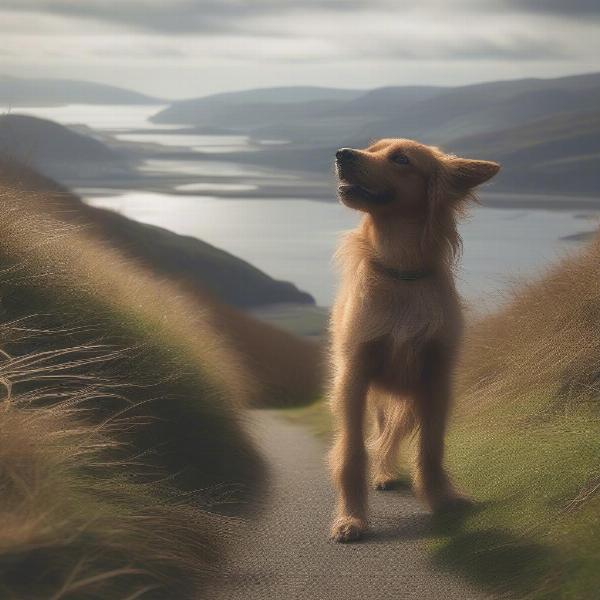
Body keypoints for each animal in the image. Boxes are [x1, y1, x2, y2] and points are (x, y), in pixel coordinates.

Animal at [326, 138, 500, 540]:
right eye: (371, 147)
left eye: (401, 159)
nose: (342, 154)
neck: (401, 273)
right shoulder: (354, 377)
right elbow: (352, 451)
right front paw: (351, 518)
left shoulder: (435, 379)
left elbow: (430, 448)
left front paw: (442, 499)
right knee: (380, 434)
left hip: (407, 399)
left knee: (391, 435)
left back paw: (387, 472)